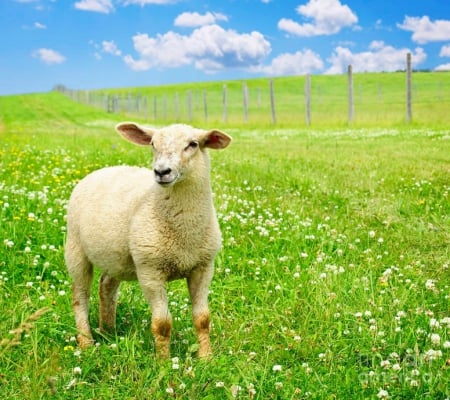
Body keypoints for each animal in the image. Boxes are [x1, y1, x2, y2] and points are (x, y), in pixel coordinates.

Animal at [64, 122, 232, 360]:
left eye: (193, 144)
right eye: (153, 144)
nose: (161, 171)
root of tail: (103, 169)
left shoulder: (203, 267)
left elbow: (202, 319)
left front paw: (206, 358)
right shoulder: (150, 270)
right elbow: (162, 324)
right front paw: (164, 362)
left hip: (116, 257)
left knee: (106, 284)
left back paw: (108, 331)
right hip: (75, 248)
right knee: (80, 296)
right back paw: (86, 342)